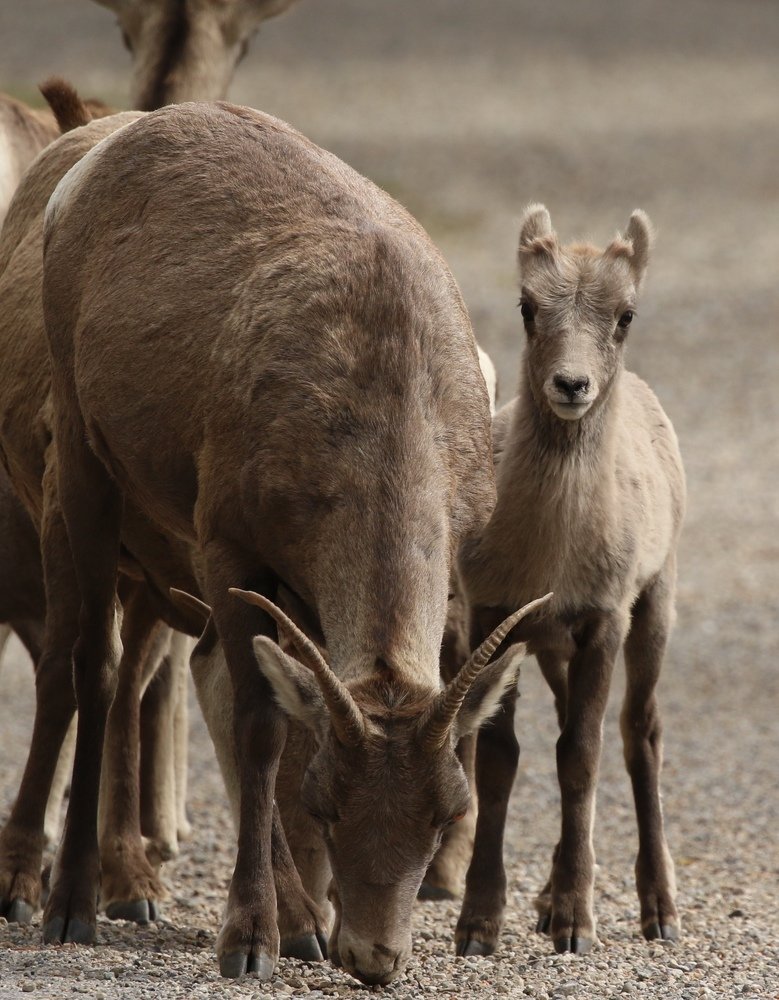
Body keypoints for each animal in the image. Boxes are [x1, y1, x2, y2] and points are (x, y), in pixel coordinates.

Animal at [36, 99, 545, 984]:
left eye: (446, 809)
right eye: (327, 801)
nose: (374, 957)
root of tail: (97, 154)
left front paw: (307, 928)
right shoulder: (228, 546)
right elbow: (261, 726)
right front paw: (250, 940)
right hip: (81, 448)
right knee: (96, 663)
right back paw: (74, 907)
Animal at [453, 205, 686, 957]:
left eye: (625, 315)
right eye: (528, 307)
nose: (572, 386)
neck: (552, 556)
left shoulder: (602, 619)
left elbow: (581, 757)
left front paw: (577, 927)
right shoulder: (497, 618)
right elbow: (501, 757)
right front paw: (479, 926)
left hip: (653, 611)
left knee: (640, 734)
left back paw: (659, 912)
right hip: (554, 649)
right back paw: (546, 900)